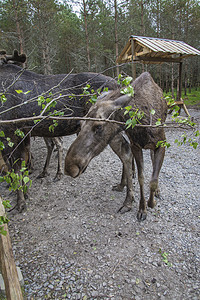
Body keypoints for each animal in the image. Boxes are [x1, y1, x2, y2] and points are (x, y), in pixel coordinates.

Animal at [0, 50, 134, 212]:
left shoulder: (8, 132)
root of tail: (120, 85)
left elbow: (15, 168)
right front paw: (24, 193)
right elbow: (22, 165)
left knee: (125, 152)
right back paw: (122, 185)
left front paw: (20, 202)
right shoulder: (22, 135)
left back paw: (127, 200)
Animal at [65, 72, 168, 220]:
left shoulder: (161, 144)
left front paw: (151, 202)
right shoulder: (136, 145)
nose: (70, 167)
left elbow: (153, 179)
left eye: (99, 126)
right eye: (80, 124)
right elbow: (142, 178)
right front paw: (141, 208)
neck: (142, 124)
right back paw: (123, 184)